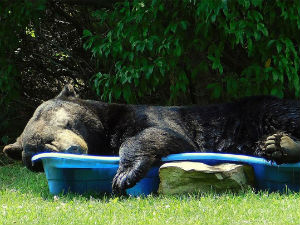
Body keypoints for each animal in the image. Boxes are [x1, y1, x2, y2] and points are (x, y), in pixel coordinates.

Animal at [2, 84, 300, 193]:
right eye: (39, 151)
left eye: (65, 122)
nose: (74, 149)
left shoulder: (150, 116)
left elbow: (161, 134)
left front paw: (125, 174)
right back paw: (276, 146)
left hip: (265, 110)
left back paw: (283, 144)